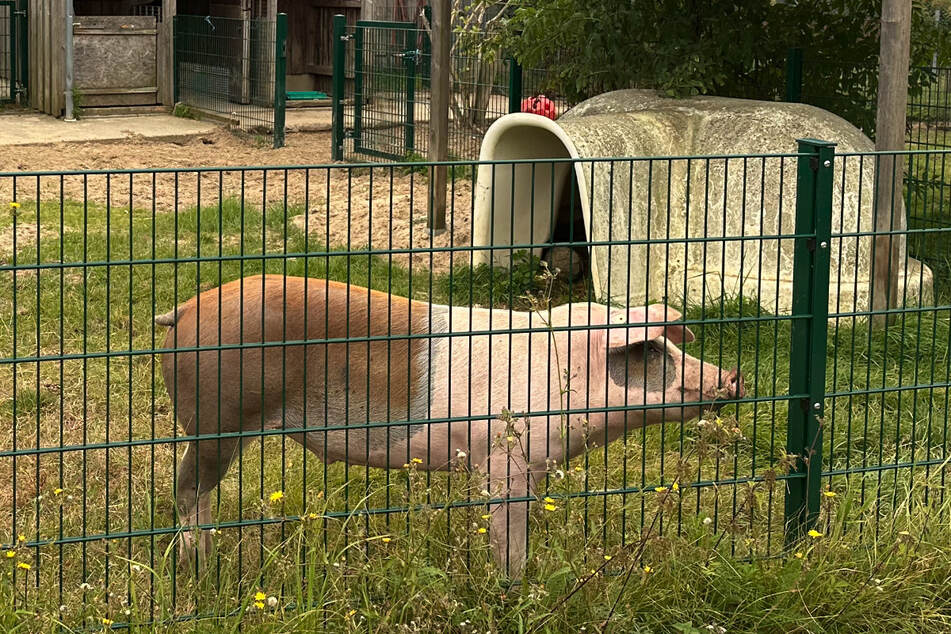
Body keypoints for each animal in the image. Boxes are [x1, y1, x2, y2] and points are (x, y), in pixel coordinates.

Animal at [154, 274, 744, 576]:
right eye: (652, 350)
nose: (733, 376)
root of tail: (182, 310)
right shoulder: (506, 457)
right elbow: (508, 534)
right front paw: (513, 586)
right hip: (216, 419)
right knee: (187, 490)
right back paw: (200, 567)